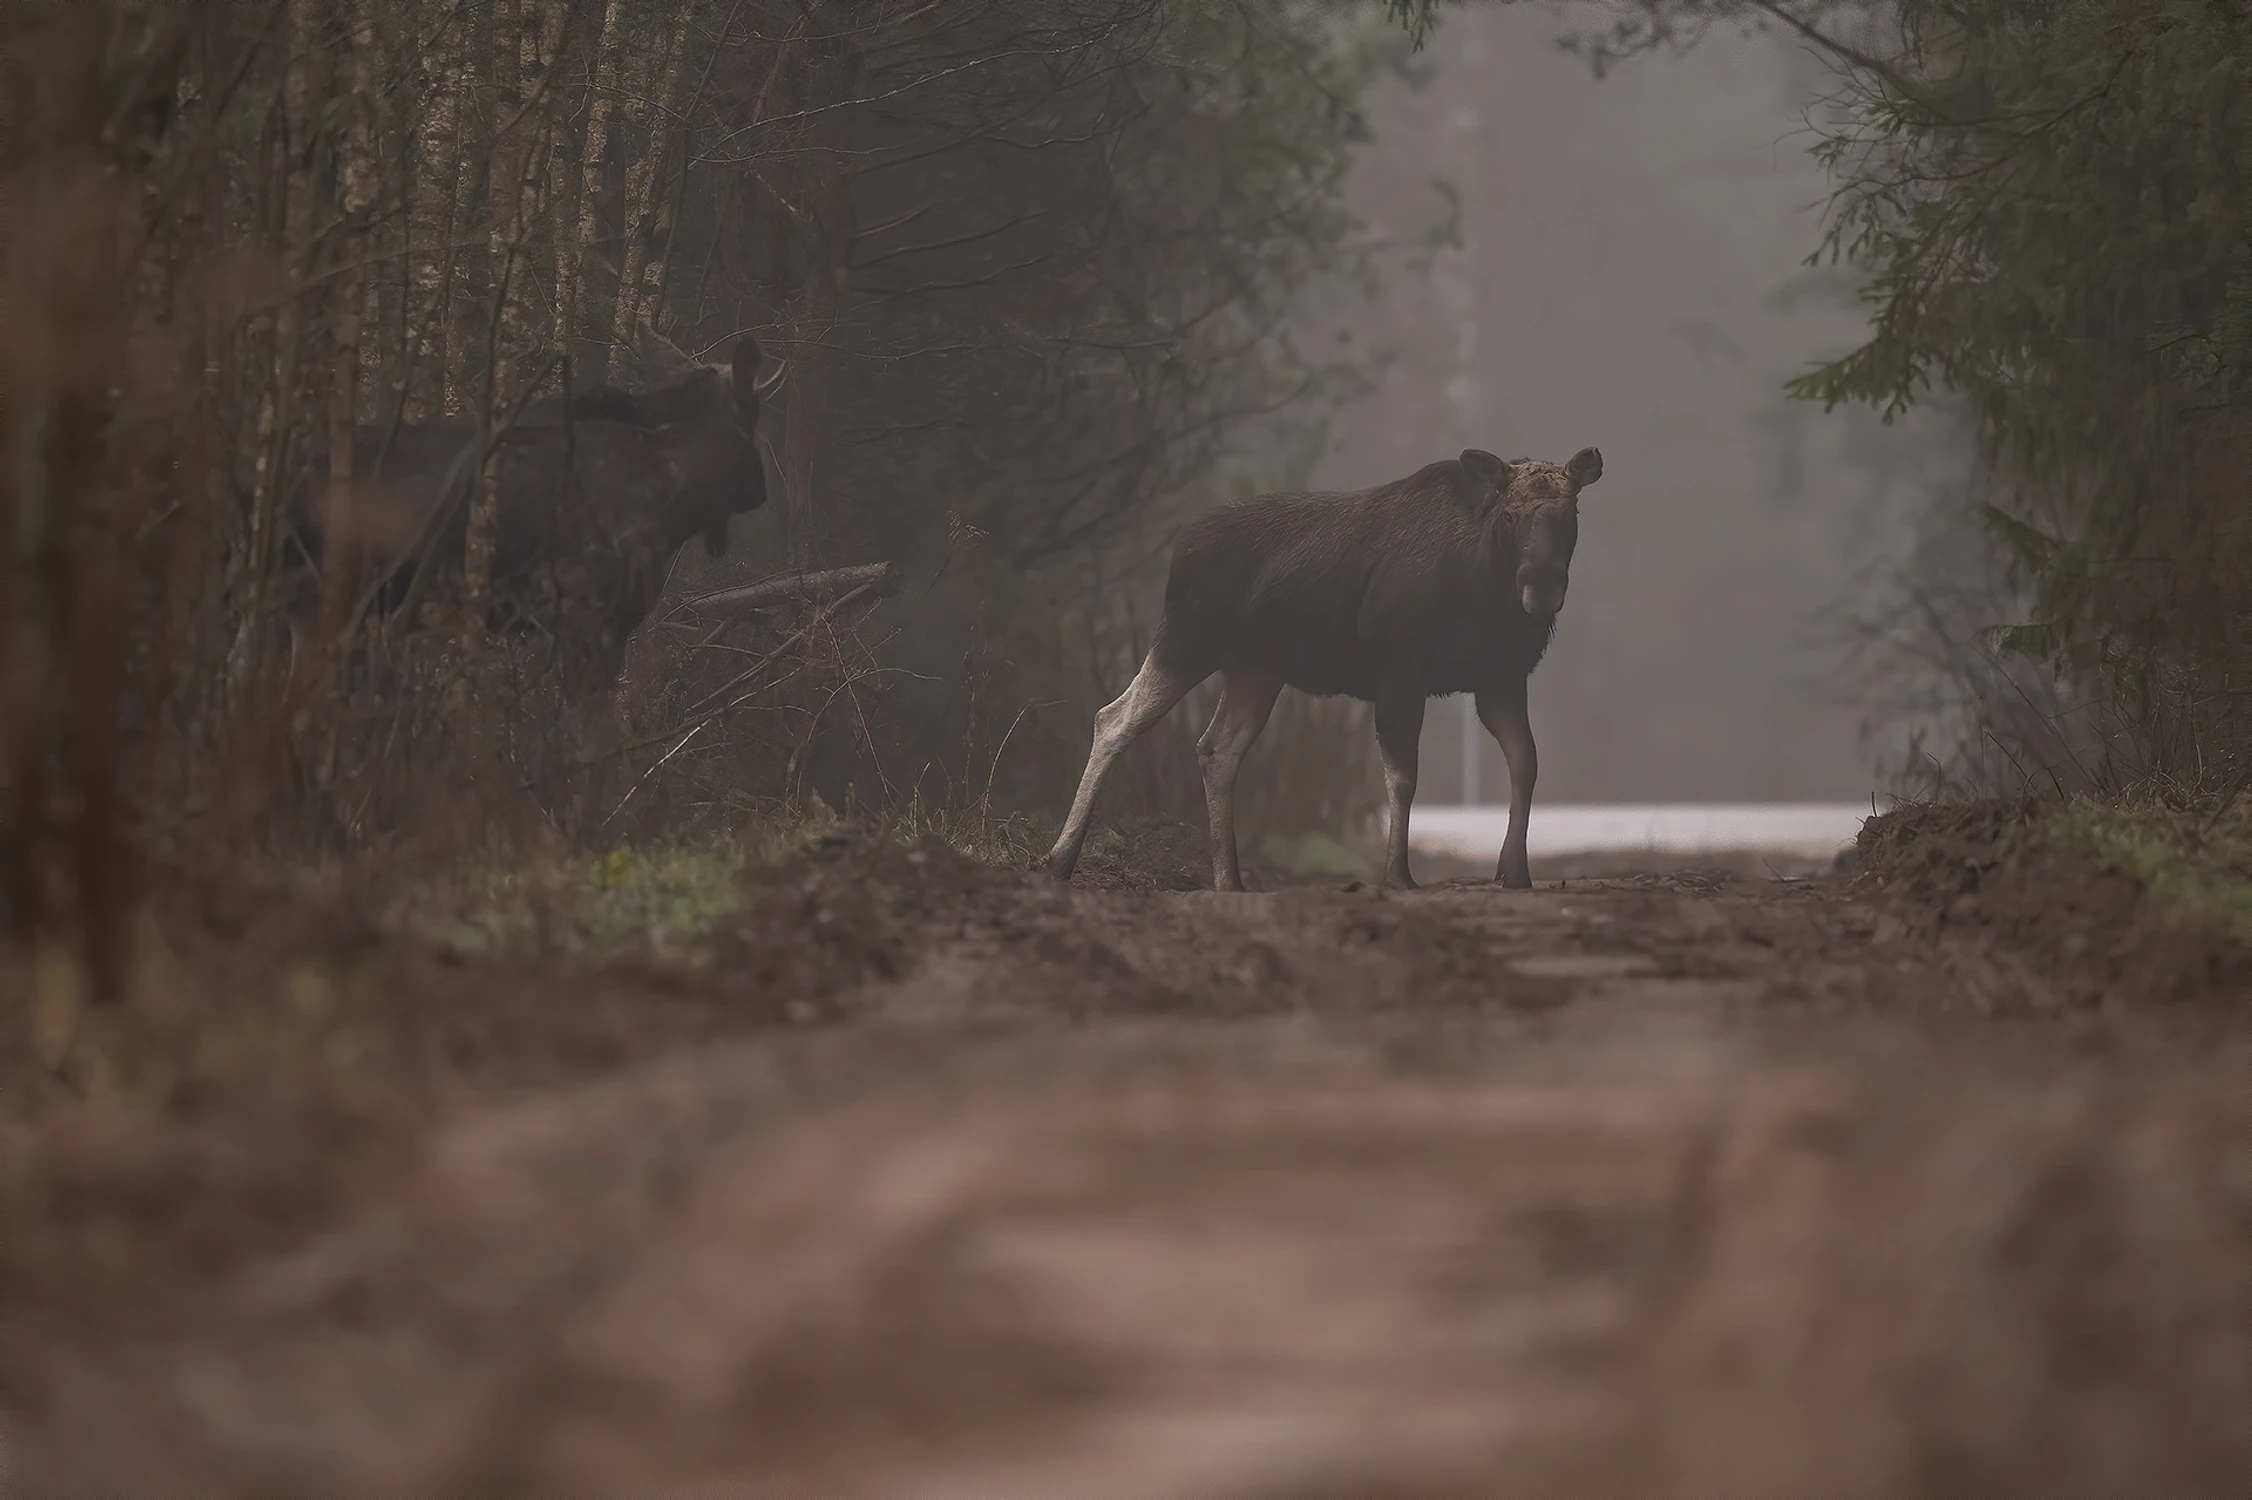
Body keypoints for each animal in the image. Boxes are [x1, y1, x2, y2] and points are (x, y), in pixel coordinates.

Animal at [1049, 441, 1603, 887]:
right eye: (1510, 515)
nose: (1542, 585)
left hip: (1255, 670)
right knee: (1114, 719)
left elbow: (1526, 763)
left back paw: (1230, 879)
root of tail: (1179, 550)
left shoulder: (1500, 679)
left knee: (1216, 749)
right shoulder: (1401, 671)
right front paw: (1397, 875)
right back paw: (1060, 859)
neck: (1485, 588)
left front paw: (1515, 872)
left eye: (1570, 512)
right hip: (1185, 639)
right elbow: (1403, 776)